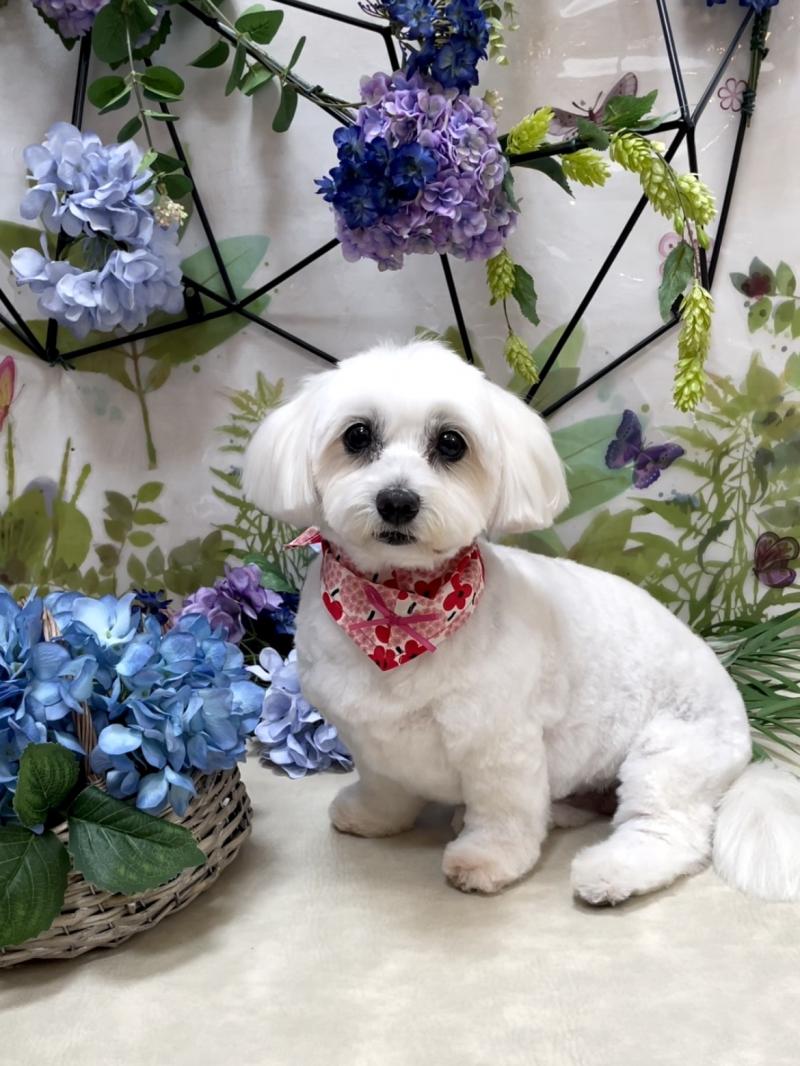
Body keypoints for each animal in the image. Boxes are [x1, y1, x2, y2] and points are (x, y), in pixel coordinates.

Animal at [243, 339, 800, 903]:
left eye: (451, 443)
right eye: (356, 435)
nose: (397, 501)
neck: (395, 615)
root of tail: (745, 739)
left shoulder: (501, 745)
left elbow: (504, 815)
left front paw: (486, 859)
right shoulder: (371, 741)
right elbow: (386, 789)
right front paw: (372, 817)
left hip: (670, 754)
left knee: (669, 832)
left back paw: (611, 871)